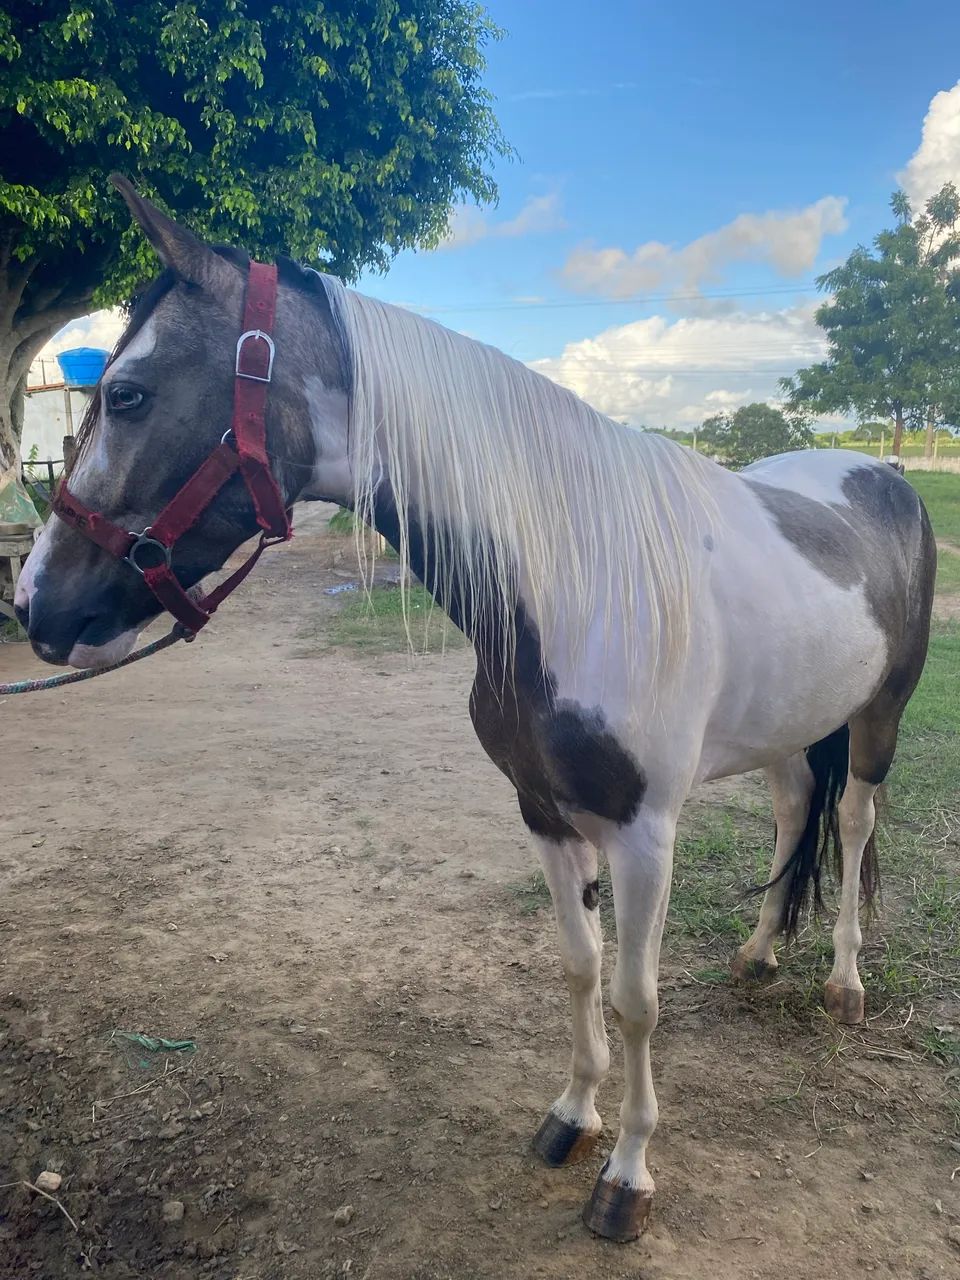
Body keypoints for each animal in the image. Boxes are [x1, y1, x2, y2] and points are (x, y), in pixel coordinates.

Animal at [15, 179, 936, 1243]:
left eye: (127, 394)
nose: (35, 607)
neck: (575, 584)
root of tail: (879, 475)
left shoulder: (645, 833)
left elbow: (636, 999)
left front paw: (628, 1174)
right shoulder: (542, 813)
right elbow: (579, 968)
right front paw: (572, 1117)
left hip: (878, 720)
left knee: (855, 823)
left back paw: (843, 983)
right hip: (788, 726)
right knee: (793, 811)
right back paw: (756, 958)